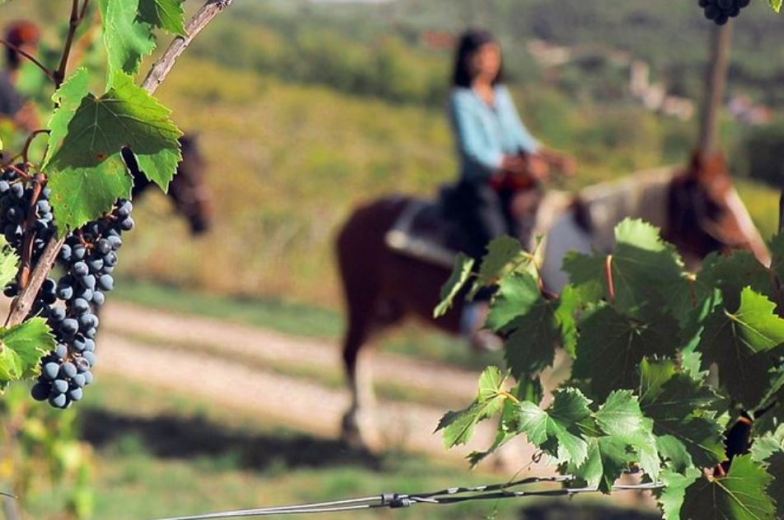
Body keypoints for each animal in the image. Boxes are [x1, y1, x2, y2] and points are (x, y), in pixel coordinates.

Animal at [334, 152, 768, 448]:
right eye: (715, 203)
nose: (759, 256)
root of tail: (355, 213)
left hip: (388, 311)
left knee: (365, 353)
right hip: (363, 300)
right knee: (352, 353)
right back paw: (361, 429)